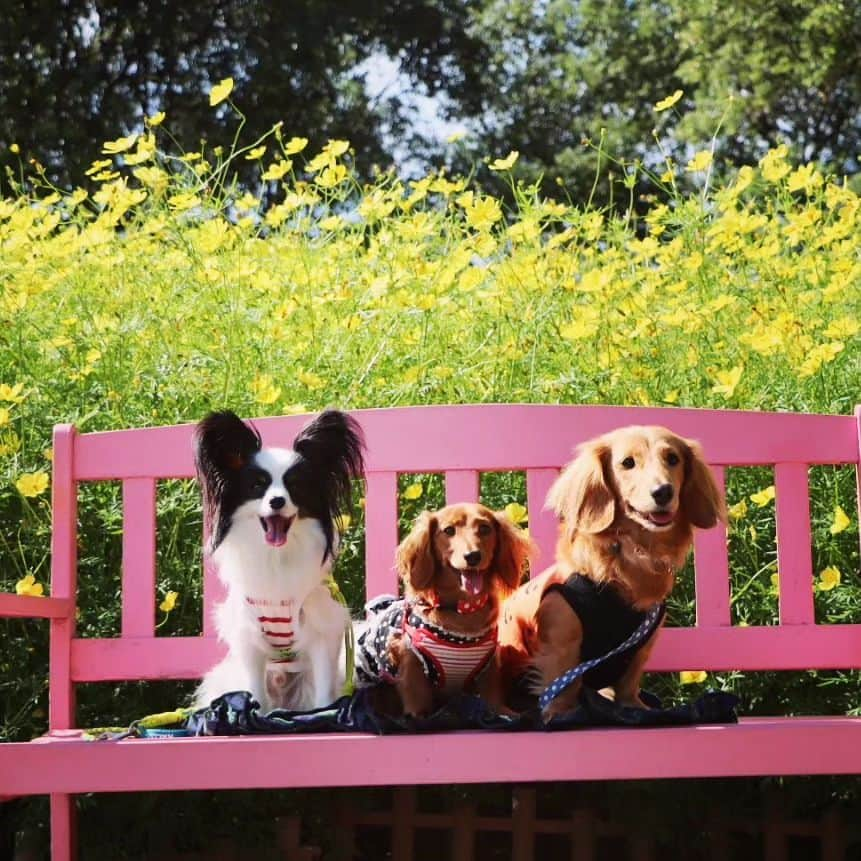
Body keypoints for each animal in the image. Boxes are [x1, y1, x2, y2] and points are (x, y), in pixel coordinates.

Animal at [193, 410, 364, 712]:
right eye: (257, 486)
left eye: (295, 486)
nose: (276, 501)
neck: (277, 557)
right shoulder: (249, 640)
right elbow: (256, 695)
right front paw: (253, 714)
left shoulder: (321, 633)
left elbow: (323, 694)